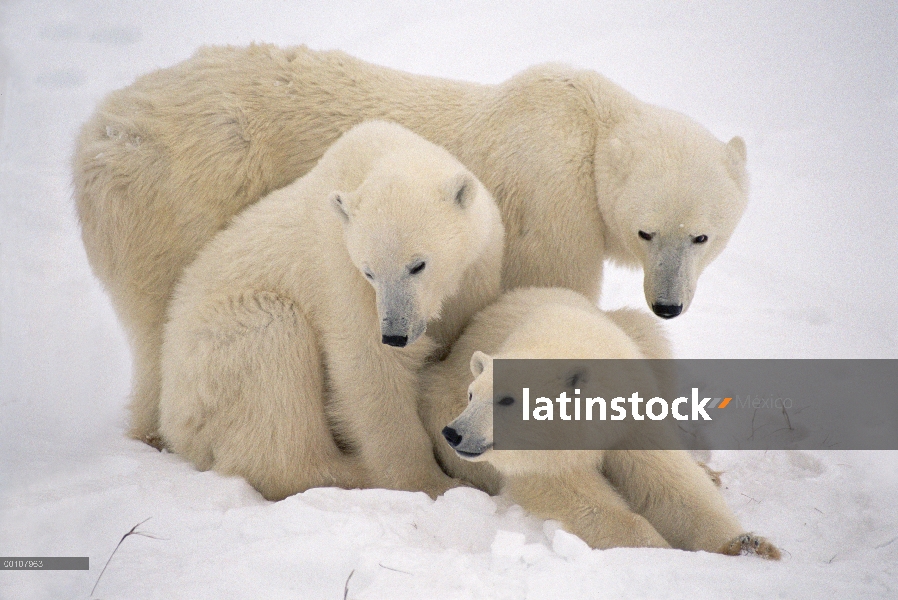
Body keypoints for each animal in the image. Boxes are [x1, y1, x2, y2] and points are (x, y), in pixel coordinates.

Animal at [75, 45, 748, 446]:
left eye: (702, 235)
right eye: (646, 231)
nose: (668, 305)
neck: (584, 127)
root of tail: (101, 130)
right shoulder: (551, 203)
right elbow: (551, 299)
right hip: (177, 203)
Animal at [157, 119, 500, 500]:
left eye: (418, 265)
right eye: (369, 271)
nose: (395, 334)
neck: (381, 154)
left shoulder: (476, 267)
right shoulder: (341, 273)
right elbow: (368, 366)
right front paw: (432, 483)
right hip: (211, 364)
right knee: (275, 350)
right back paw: (349, 471)